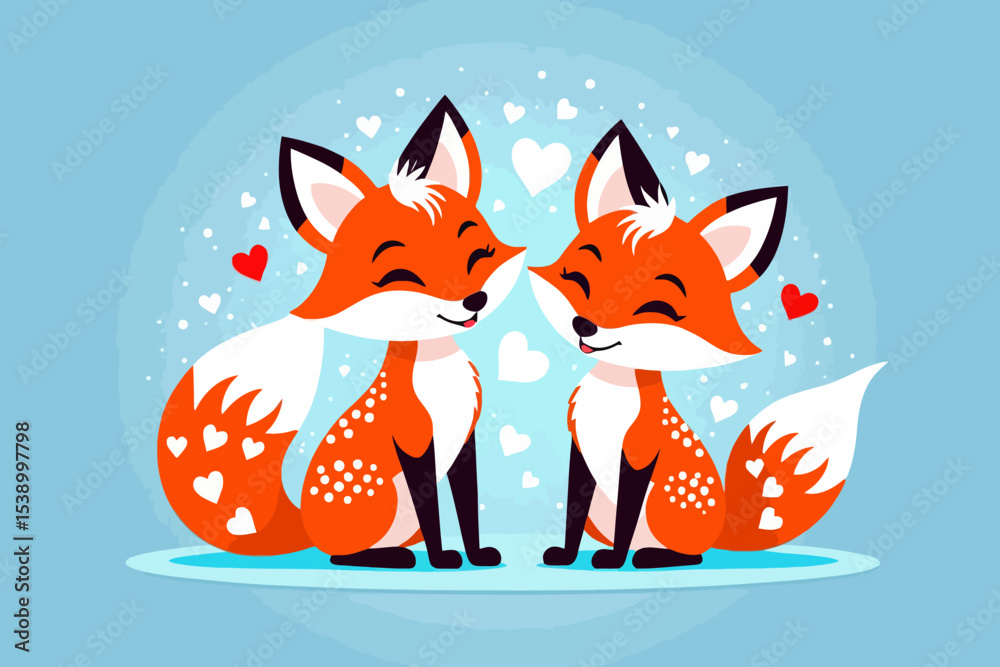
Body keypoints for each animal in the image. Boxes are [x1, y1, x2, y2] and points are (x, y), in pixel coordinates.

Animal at [157, 97, 525, 569]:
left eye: (479, 254)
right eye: (402, 276)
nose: (474, 300)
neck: (438, 370)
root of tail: (306, 526)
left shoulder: (465, 441)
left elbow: (467, 509)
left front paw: (477, 556)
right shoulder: (413, 441)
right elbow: (434, 514)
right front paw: (443, 559)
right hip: (382, 503)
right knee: (341, 555)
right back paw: (389, 558)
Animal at [529, 121, 884, 569]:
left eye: (656, 308)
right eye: (579, 279)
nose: (584, 325)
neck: (613, 391)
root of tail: (722, 527)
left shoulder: (639, 453)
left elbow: (626, 520)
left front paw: (614, 560)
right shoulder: (580, 449)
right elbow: (572, 516)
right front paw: (565, 555)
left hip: (665, 512)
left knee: (689, 555)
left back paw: (651, 557)